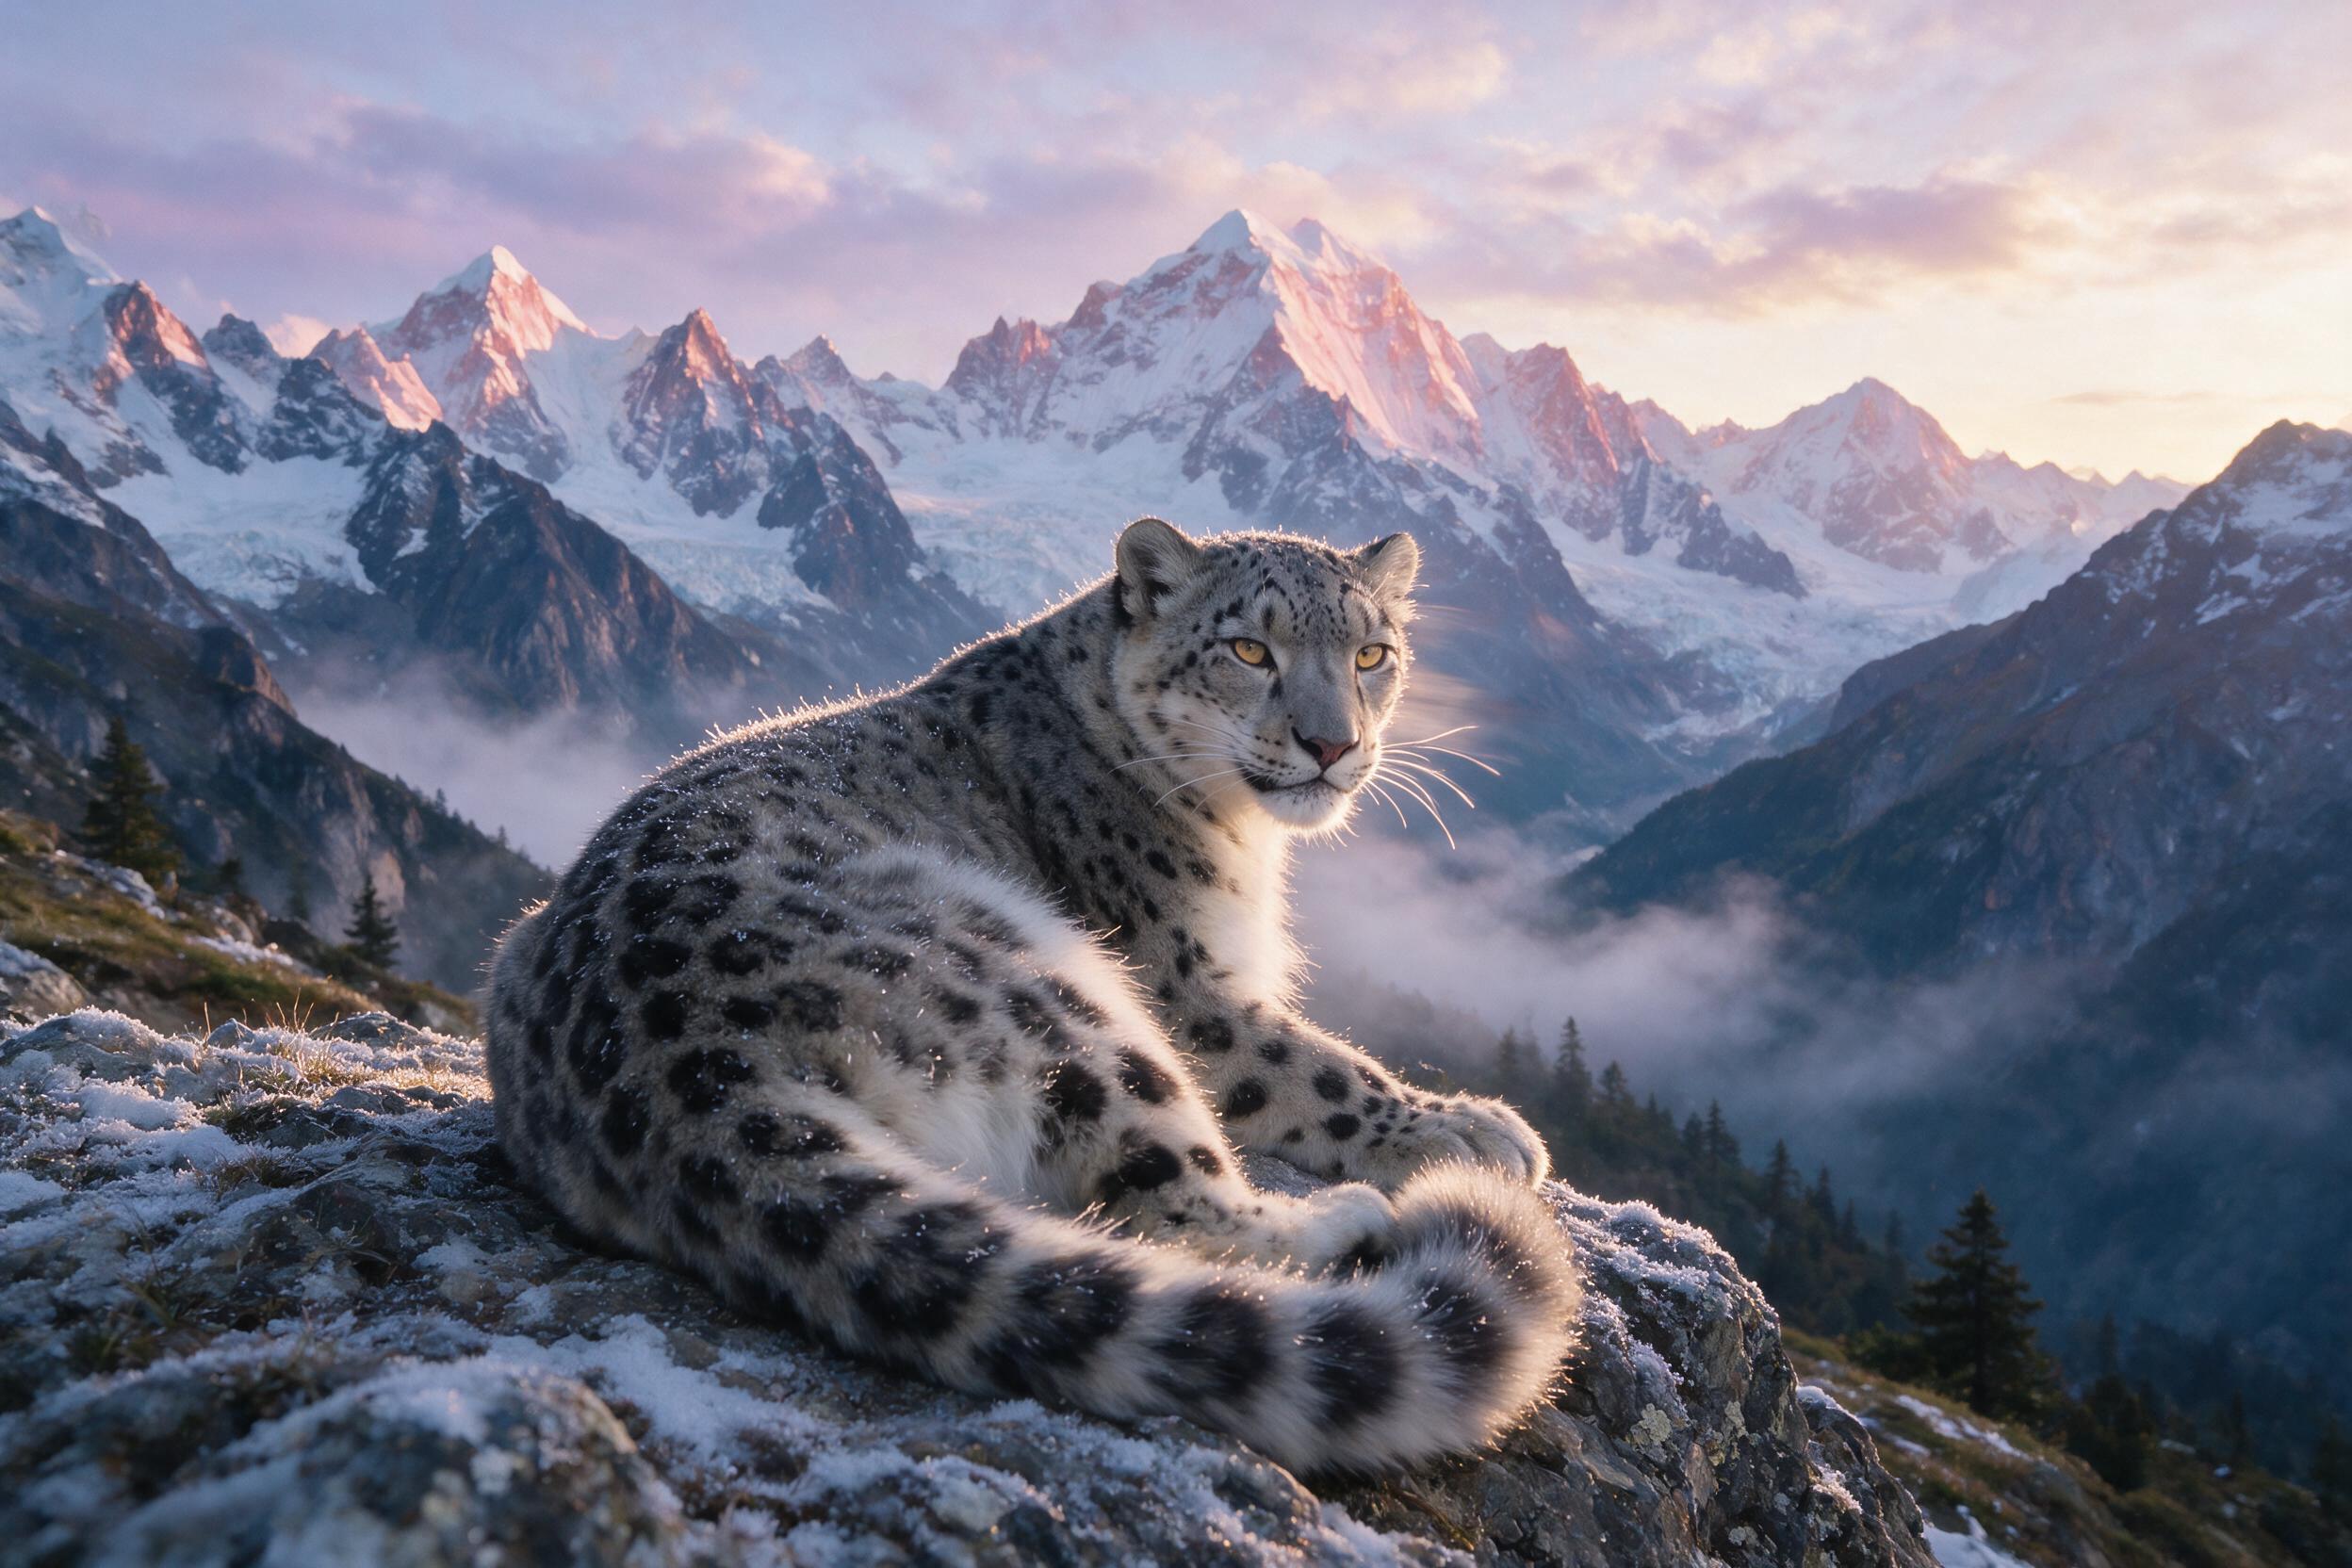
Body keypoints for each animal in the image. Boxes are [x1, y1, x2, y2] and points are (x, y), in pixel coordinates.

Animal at [484, 517, 1581, 1473]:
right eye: (1248, 649)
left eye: (1371, 654)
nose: (1332, 745)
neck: (1242, 842)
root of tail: (668, 1065)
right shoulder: (1189, 990)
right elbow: (1316, 1067)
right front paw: (1473, 1129)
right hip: (1059, 996)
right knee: (1175, 1211)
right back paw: (1343, 1217)